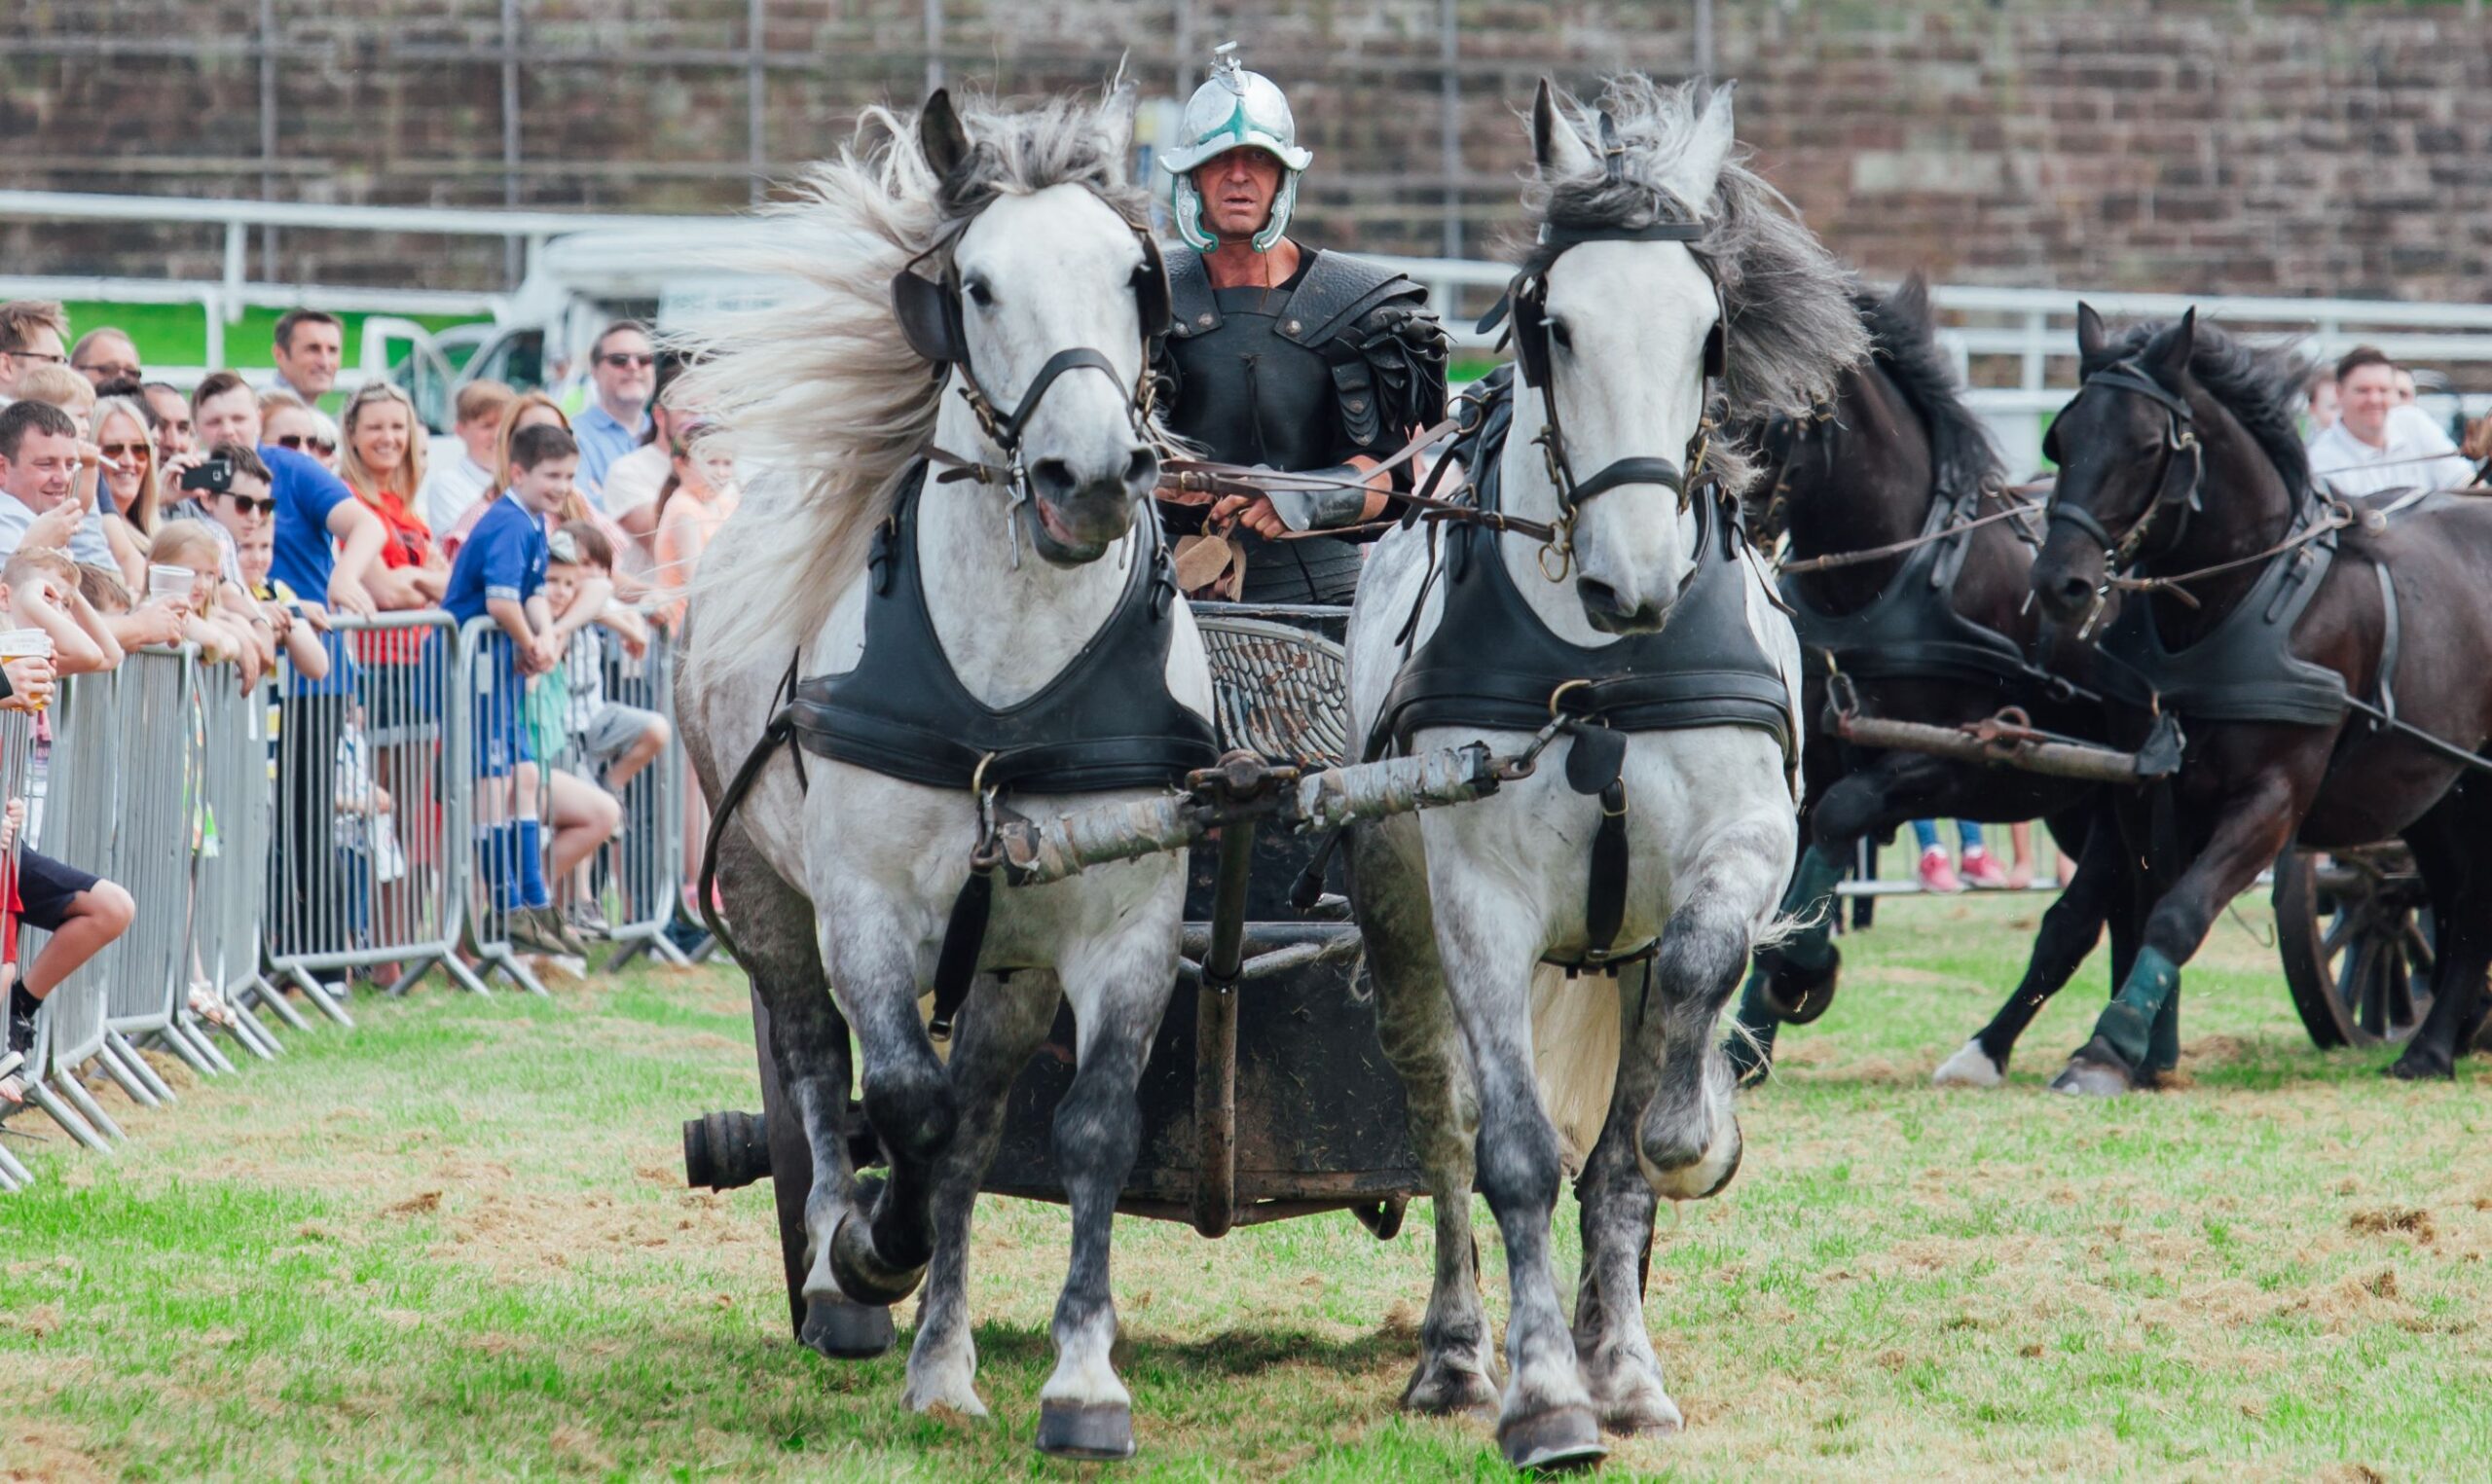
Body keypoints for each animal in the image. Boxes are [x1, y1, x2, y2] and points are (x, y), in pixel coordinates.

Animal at [678, 90, 1211, 1464]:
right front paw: (872, 1248)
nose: (1093, 477)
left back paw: (942, 1363)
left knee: (975, 1130)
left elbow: (1084, 1131)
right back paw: (841, 1274)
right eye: (976, 285)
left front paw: (1084, 1379)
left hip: (1013, 966)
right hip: (767, 893)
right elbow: (899, 1102)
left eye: (1136, 278)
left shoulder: (1129, 925)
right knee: (819, 1065)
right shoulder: (867, 910)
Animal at [1345, 75, 1874, 1464]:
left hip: (1612, 951)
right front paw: (1541, 1398)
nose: (1630, 582)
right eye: (1554, 328)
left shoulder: (1745, 842)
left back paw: (1620, 1360)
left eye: (1709, 334)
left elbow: (1658, 1091)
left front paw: (1701, 1142)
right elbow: (1517, 1155)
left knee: (1619, 1129)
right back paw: (1456, 1356)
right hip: (1402, 925)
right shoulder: (1478, 901)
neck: (1604, 670)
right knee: (1442, 1123)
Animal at [1724, 278, 2133, 1085]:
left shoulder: (1972, 756)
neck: (1893, 580)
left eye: (1773, 412)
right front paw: (1748, 1037)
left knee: (2079, 917)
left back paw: (2000, 1049)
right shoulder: (1812, 761)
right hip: (2077, 798)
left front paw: (1802, 972)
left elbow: (1843, 815)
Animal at [2023, 304, 2492, 1090]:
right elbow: (2144, 900)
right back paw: (2434, 1044)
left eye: (2146, 445)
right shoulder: (2145, 788)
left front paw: (2107, 1048)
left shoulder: (2273, 800)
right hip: (2434, 786)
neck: (2228, 600)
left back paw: (2432, 1045)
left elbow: (2179, 912)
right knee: (2457, 897)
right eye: (2062, 438)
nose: (2061, 581)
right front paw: (2150, 1052)